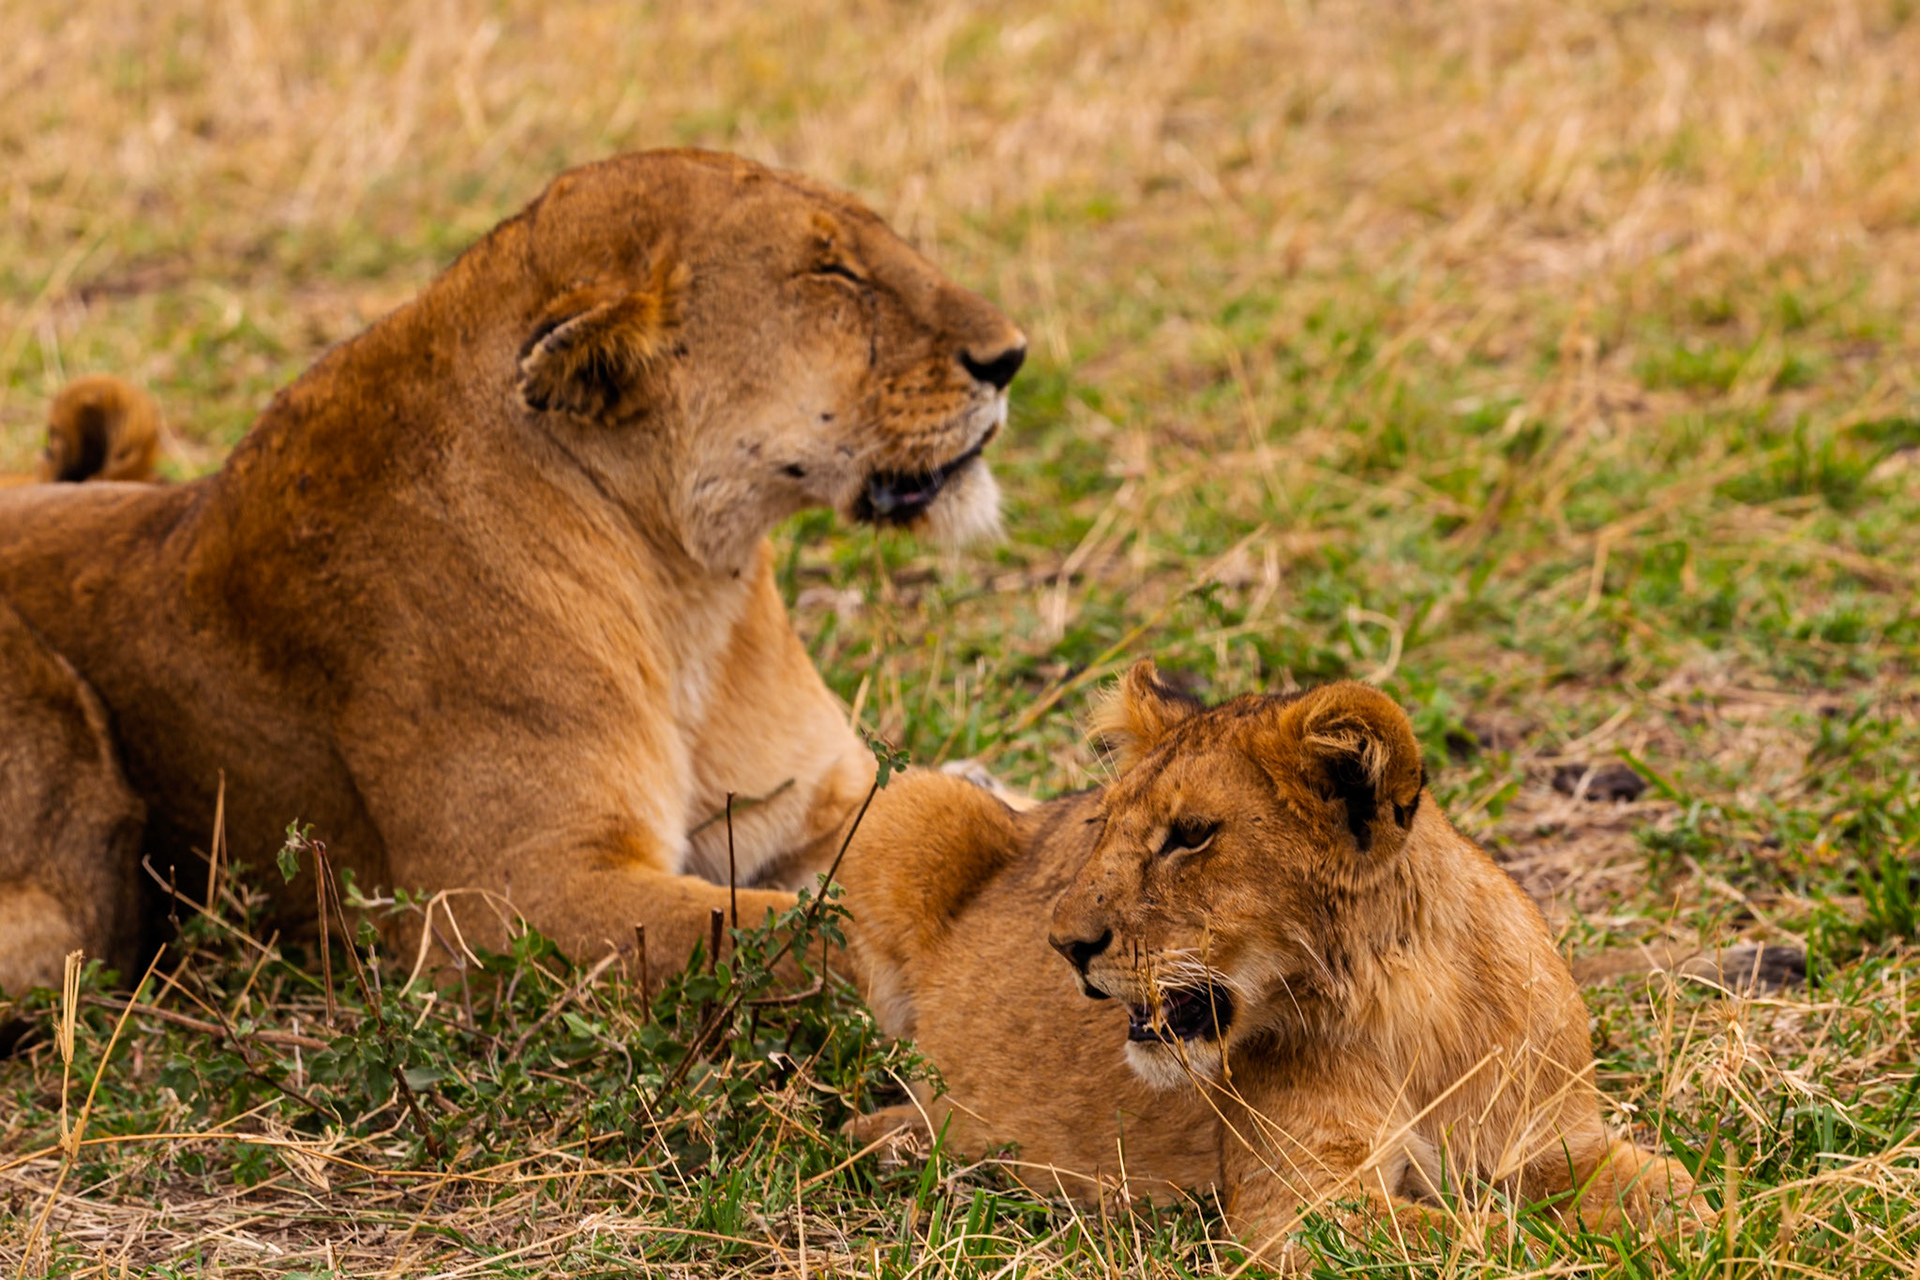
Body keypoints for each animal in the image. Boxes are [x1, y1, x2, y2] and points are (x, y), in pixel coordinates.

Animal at [0, 149, 1026, 997]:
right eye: (831, 272)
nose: (1011, 356)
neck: (686, 584)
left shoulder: (811, 807)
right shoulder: (509, 899)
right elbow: (809, 936)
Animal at [838, 663, 1704, 1263]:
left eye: (1191, 836)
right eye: (1101, 826)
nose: (1063, 944)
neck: (1415, 1006)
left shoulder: (1551, 1142)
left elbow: (1676, 1189)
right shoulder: (1306, 1209)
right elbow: (1487, 1238)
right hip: (905, 806)